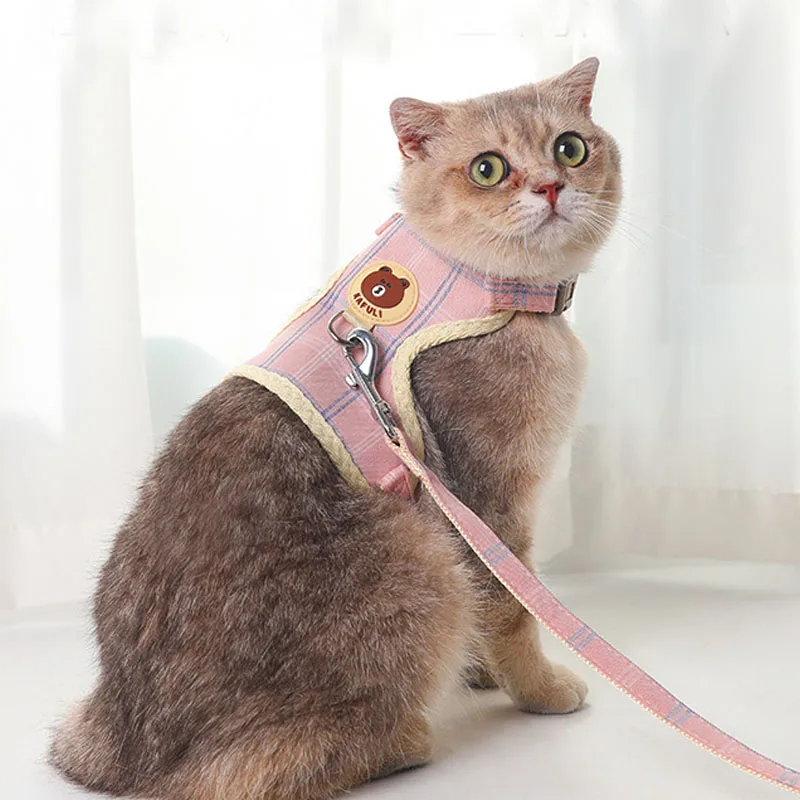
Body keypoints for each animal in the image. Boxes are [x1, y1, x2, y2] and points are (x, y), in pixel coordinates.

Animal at [50, 57, 621, 800]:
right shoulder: (485, 503)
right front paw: (541, 690)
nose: (552, 185)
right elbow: (514, 607)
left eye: (571, 147)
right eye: (488, 168)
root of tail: (125, 753)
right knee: (258, 767)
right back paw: (406, 739)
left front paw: (482, 672)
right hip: (418, 551)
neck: (498, 295)